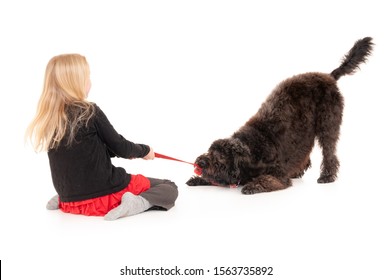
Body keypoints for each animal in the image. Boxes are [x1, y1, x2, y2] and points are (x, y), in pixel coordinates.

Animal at [187, 36, 374, 195]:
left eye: (219, 158)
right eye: (209, 151)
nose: (199, 162)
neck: (251, 149)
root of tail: (329, 76)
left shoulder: (278, 174)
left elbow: (266, 179)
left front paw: (252, 185)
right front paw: (197, 179)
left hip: (328, 125)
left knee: (329, 152)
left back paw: (326, 176)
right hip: (305, 132)